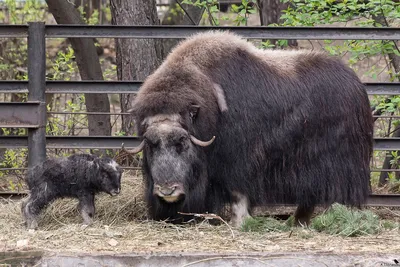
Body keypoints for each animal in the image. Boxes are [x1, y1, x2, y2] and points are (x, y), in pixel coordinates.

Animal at [126, 30, 376, 228]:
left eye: (182, 142)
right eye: (151, 145)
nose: (167, 191)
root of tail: (355, 82)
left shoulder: (239, 161)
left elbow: (239, 194)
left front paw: (239, 223)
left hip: (334, 161)